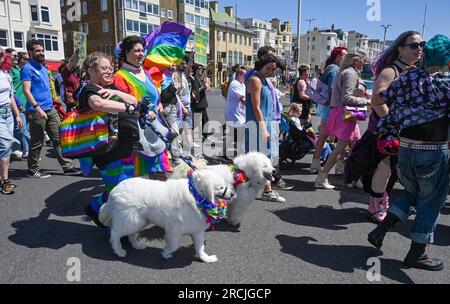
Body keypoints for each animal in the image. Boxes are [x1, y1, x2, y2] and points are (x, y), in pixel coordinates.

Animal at [100, 170, 236, 262]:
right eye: (221, 187)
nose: (232, 193)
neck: (196, 196)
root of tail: (114, 191)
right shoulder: (174, 230)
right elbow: (174, 246)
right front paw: (165, 253)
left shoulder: (197, 230)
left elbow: (200, 248)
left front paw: (206, 258)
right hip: (131, 221)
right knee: (115, 234)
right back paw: (119, 251)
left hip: (139, 221)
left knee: (131, 234)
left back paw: (137, 245)